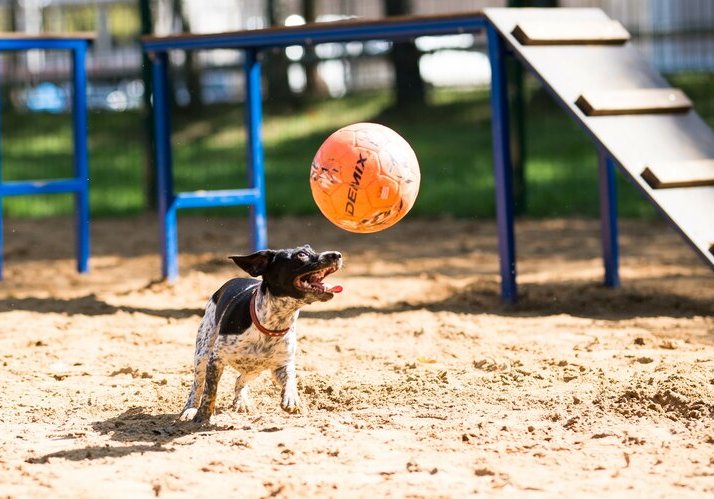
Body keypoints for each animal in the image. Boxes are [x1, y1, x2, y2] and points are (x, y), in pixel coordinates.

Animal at [179, 244, 344, 424]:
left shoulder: (282, 365)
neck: (271, 325)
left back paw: (241, 401)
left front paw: (292, 399)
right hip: (202, 354)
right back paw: (190, 409)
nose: (337, 255)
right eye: (301, 255)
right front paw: (203, 415)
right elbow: (210, 391)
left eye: (311, 249)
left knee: (240, 380)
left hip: (255, 368)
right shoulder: (215, 360)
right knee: (197, 385)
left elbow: (291, 380)